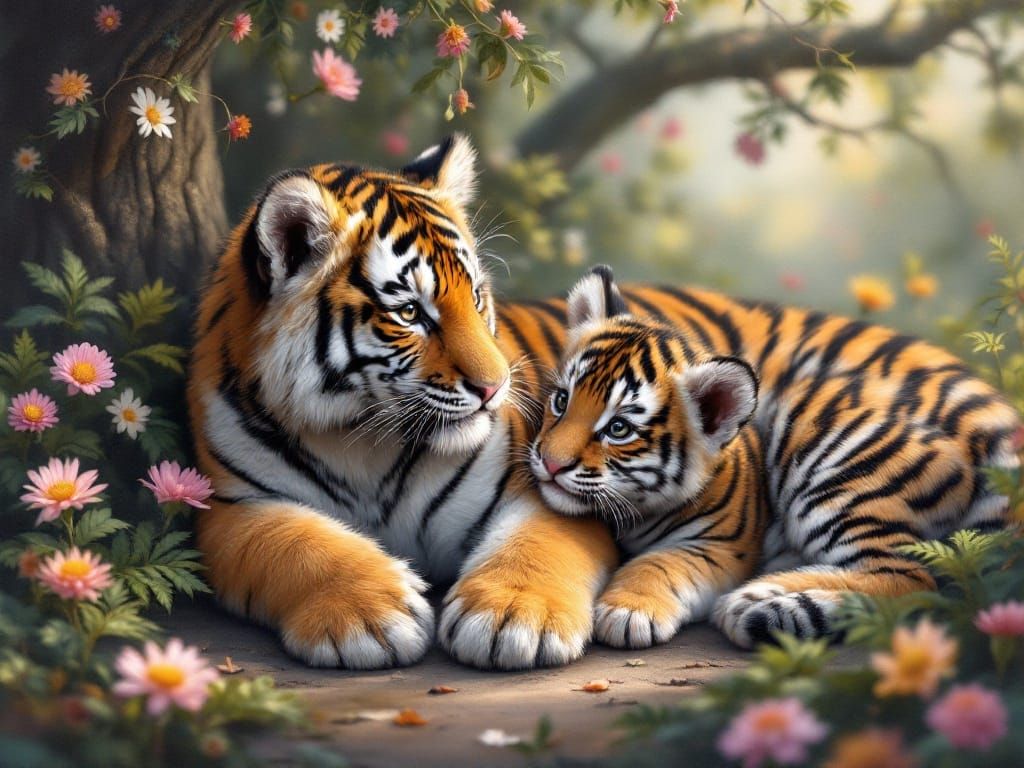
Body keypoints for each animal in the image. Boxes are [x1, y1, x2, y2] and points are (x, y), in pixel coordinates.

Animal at [187, 135, 619, 671]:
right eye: (411, 313)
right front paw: (370, 615)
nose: (495, 387)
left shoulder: (550, 492)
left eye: (476, 297)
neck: (360, 442)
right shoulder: (231, 508)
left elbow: (536, 544)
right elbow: (296, 543)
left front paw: (514, 617)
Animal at [528, 265, 1020, 649]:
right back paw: (762, 596)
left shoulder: (721, 546)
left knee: (911, 578)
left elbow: (657, 563)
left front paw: (627, 611)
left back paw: (758, 607)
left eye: (618, 429)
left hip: (829, 469)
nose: (549, 463)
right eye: (561, 400)